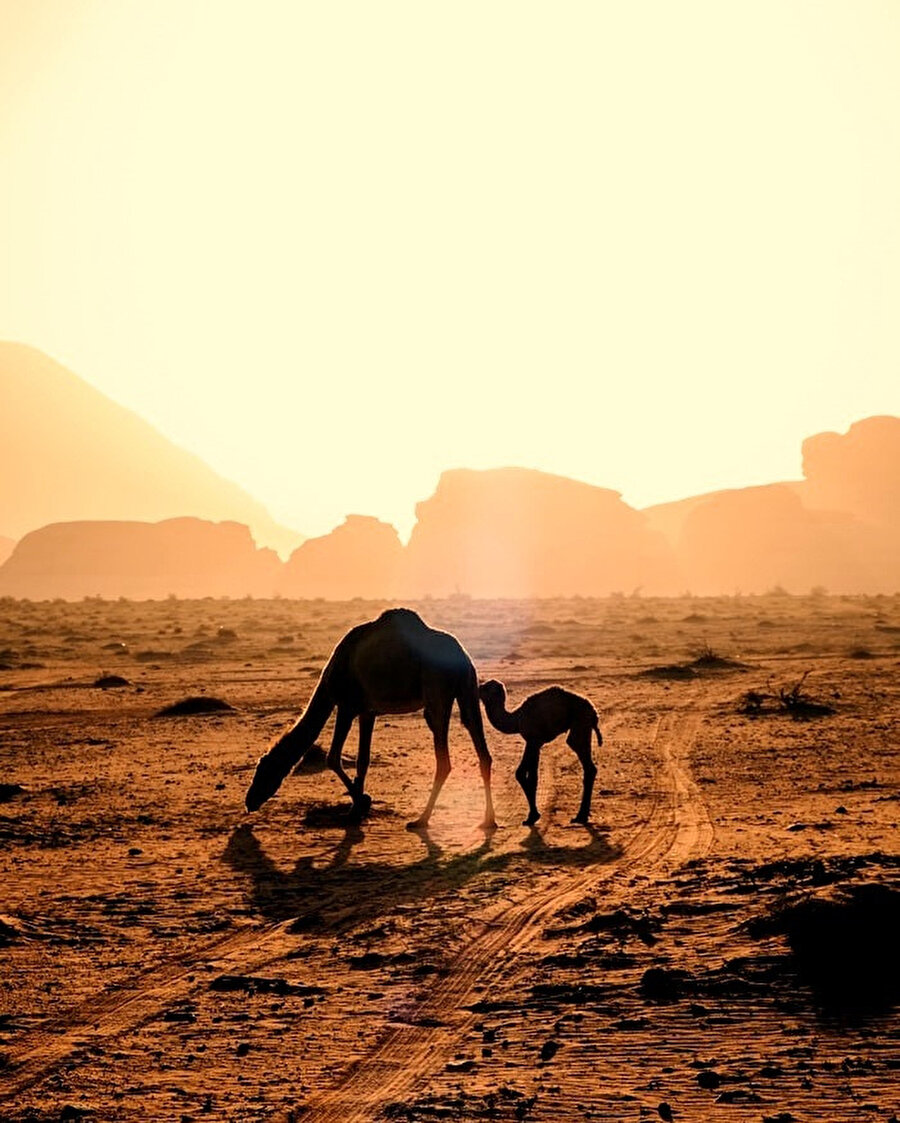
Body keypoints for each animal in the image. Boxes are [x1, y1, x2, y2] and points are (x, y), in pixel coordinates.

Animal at [480, 673, 602, 826]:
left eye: (486, 687)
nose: (478, 687)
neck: (516, 719)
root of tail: (594, 713)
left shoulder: (533, 740)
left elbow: (526, 775)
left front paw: (532, 816)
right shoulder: (534, 743)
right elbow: (527, 775)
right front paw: (533, 815)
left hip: (580, 722)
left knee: (581, 754)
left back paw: (580, 816)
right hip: (584, 725)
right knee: (589, 767)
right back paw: (582, 815)